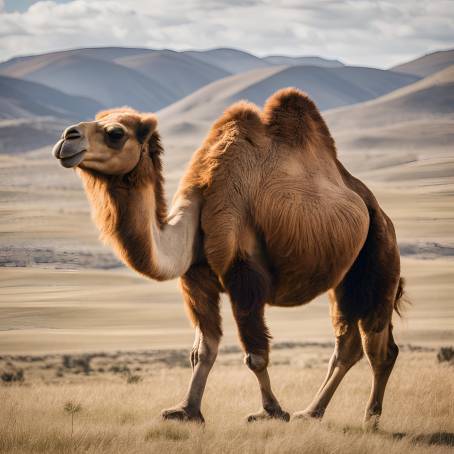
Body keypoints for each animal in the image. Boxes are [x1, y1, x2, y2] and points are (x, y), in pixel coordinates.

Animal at [52, 88, 404, 430]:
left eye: (115, 133)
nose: (67, 137)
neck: (200, 210)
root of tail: (375, 208)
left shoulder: (243, 274)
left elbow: (255, 355)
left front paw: (271, 412)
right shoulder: (196, 279)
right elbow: (203, 351)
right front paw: (186, 411)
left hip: (380, 254)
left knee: (378, 347)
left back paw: (369, 418)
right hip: (343, 278)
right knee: (347, 345)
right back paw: (312, 412)